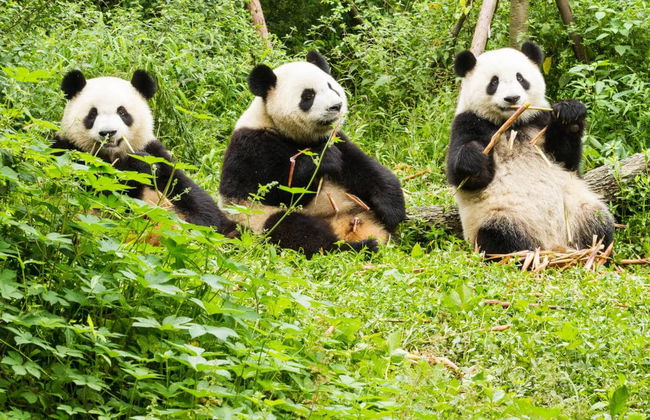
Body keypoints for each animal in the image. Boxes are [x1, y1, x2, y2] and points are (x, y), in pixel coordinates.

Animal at [53, 69, 237, 236]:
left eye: (122, 112)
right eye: (92, 114)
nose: (108, 132)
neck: (112, 155)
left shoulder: (156, 154)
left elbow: (192, 197)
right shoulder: (69, 151)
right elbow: (99, 190)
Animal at [219, 50, 405, 257]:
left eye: (331, 87)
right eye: (308, 96)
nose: (336, 106)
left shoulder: (336, 138)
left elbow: (365, 168)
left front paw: (392, 211)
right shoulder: (251, 146)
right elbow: (268, 189)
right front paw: (322, 160)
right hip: (258, 218)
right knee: (295, 230)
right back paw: (357, 247)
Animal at [446, 41, 614, 255]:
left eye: (520, 78)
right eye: (494, 82)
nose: (512, 98)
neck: (512, 124)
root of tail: (554, 246)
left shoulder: (539, 120)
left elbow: (566, 159)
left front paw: (570, 115)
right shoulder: (468, 123)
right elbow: (465, 178)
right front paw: (473, 158)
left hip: (579, 211)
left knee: (599, 224)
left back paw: (596, 250)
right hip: (501, 216)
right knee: (500, 238)